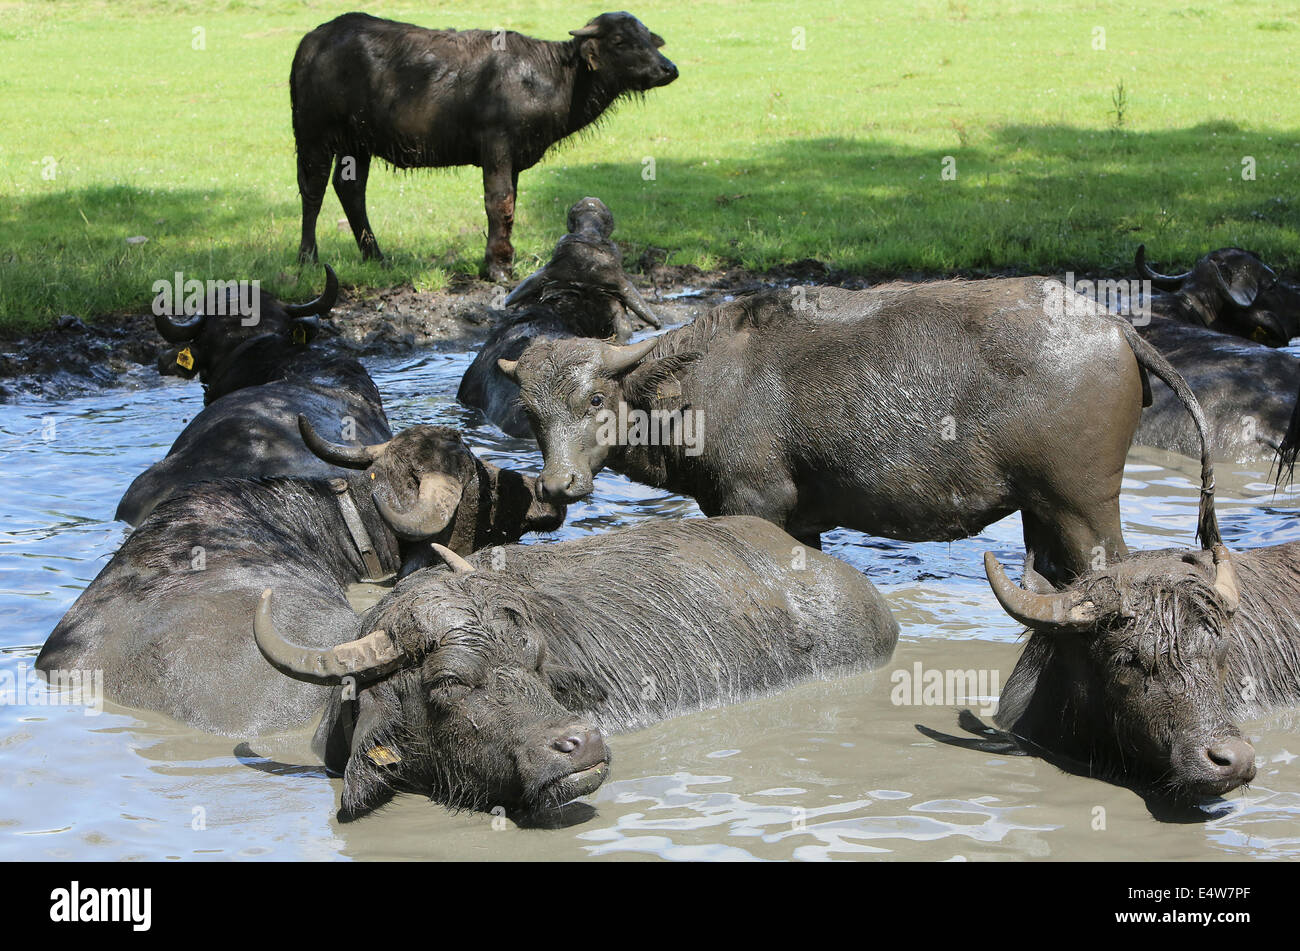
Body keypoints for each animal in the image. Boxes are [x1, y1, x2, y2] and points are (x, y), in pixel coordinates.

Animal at [292, 10, 681, 278]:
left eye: (649, 38)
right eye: (620, 41)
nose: (669, 69)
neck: (553, 79)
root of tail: (314, 40)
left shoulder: (516, 156)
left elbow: (512, 204)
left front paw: (502, 257)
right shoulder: (496, 145)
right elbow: (499, 201)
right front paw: (497, 266)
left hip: (356, 142)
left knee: (350, 189)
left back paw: (375, 256)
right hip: (313, 134)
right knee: (313, 190)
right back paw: (307, 258)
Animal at [499, 278, 1216, 582]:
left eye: (596, 397)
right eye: (530, 412)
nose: (557, 483)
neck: (699, 387)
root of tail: (1116, 327)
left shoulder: (752, 501)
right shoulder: (801, 521)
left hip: (1082, 505)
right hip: (1040, 508)